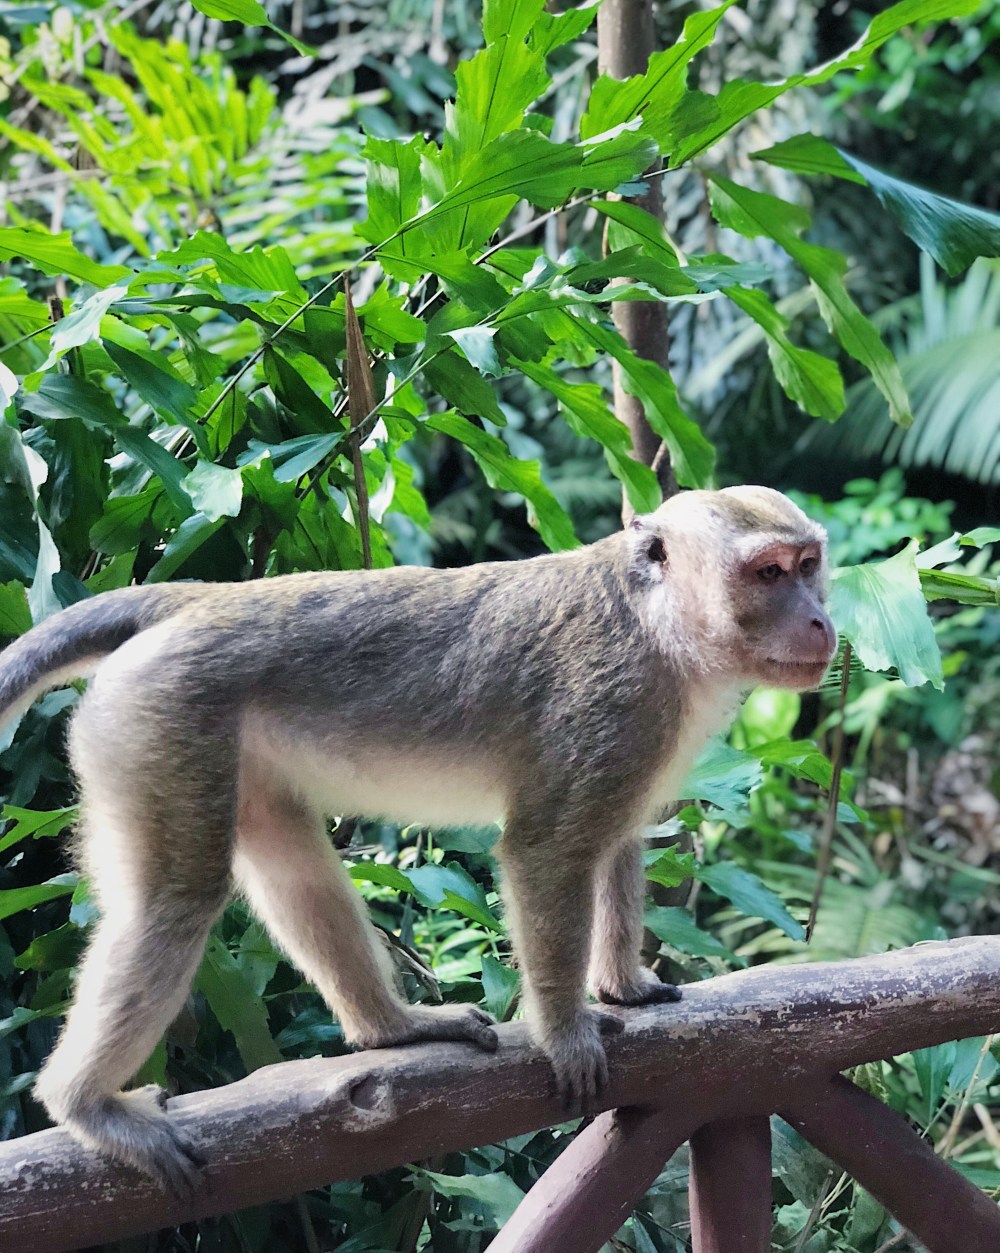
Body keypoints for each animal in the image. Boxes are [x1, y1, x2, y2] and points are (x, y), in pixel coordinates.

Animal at [0, 485, 835, 1195]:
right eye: (767, 573)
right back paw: (84, 1104)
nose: (822, 620)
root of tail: (202, 598)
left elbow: (614, 839)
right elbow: (546, 847)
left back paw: (390, 1027)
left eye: (808, 567)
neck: (657, 623)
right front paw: (564, 1030)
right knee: (175, 901)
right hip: (159, 715)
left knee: (285, 849)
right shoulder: (612, 698)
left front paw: (622, 982)